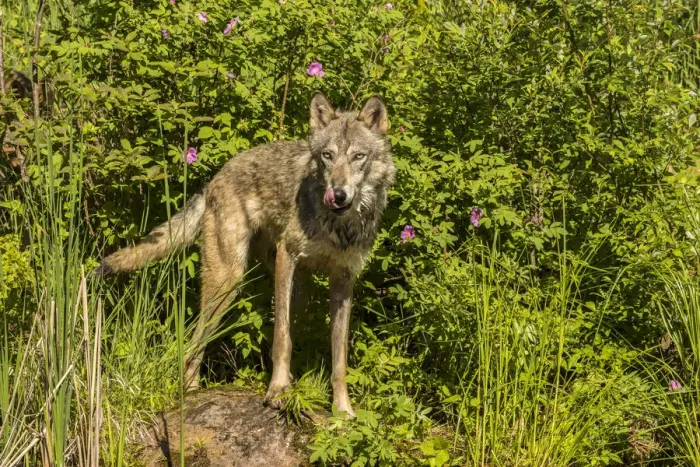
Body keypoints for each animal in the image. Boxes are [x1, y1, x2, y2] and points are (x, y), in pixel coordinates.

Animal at [95, 92, 396, 416]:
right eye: (327, 156)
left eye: (358, 157)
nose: (338, 194)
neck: (339, 225)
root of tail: (214, 179)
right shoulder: (287, 256)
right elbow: (281, 339)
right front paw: (277, 390)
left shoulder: (343, 280)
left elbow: (339, 357)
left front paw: (343, 410)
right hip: (228, 282)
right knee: (193, 342)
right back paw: (192, 394)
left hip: (294, 289)